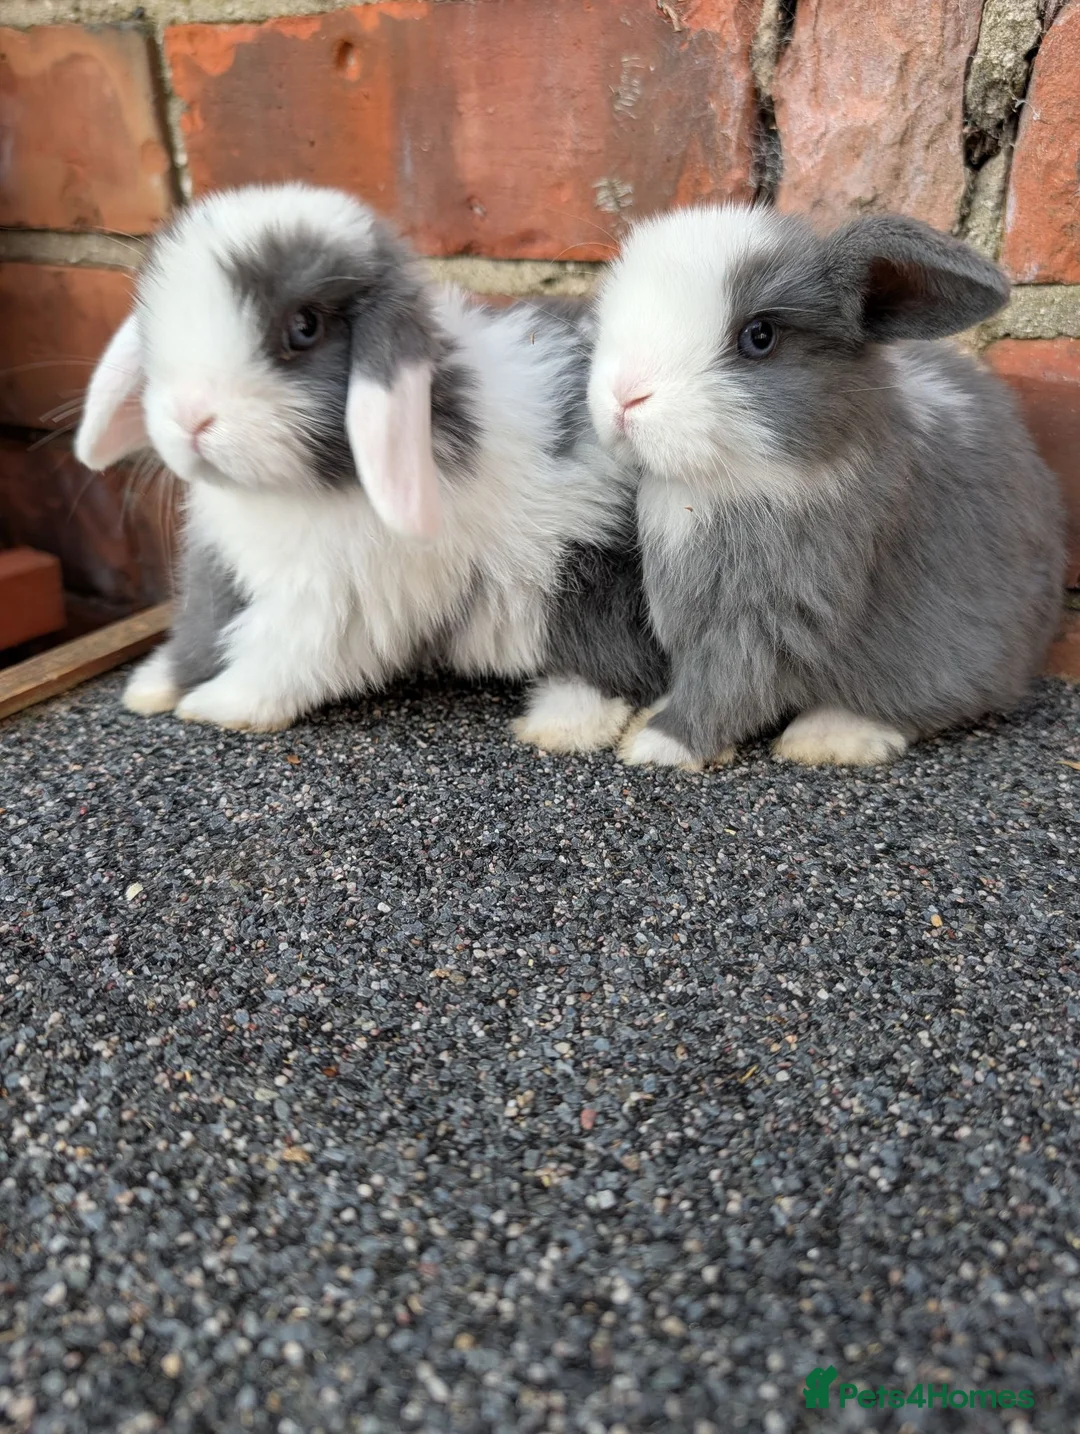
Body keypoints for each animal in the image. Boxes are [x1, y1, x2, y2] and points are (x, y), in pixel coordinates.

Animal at [74, 183, 666, 746]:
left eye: (305, 327)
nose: (190, 418)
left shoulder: (330, 604)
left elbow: (278, 658)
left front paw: (218, 706)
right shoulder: (223, 566)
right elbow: (200, 630)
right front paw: (151, 687)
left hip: (583, 574)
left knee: (607, 660)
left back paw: (561, 726)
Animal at [586, 204, 1065, 770]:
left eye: (760, 336)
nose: (623, 396)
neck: (702, 485)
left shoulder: (773, 617)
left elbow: (727, 684)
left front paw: (657, 744)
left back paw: (832, 733)